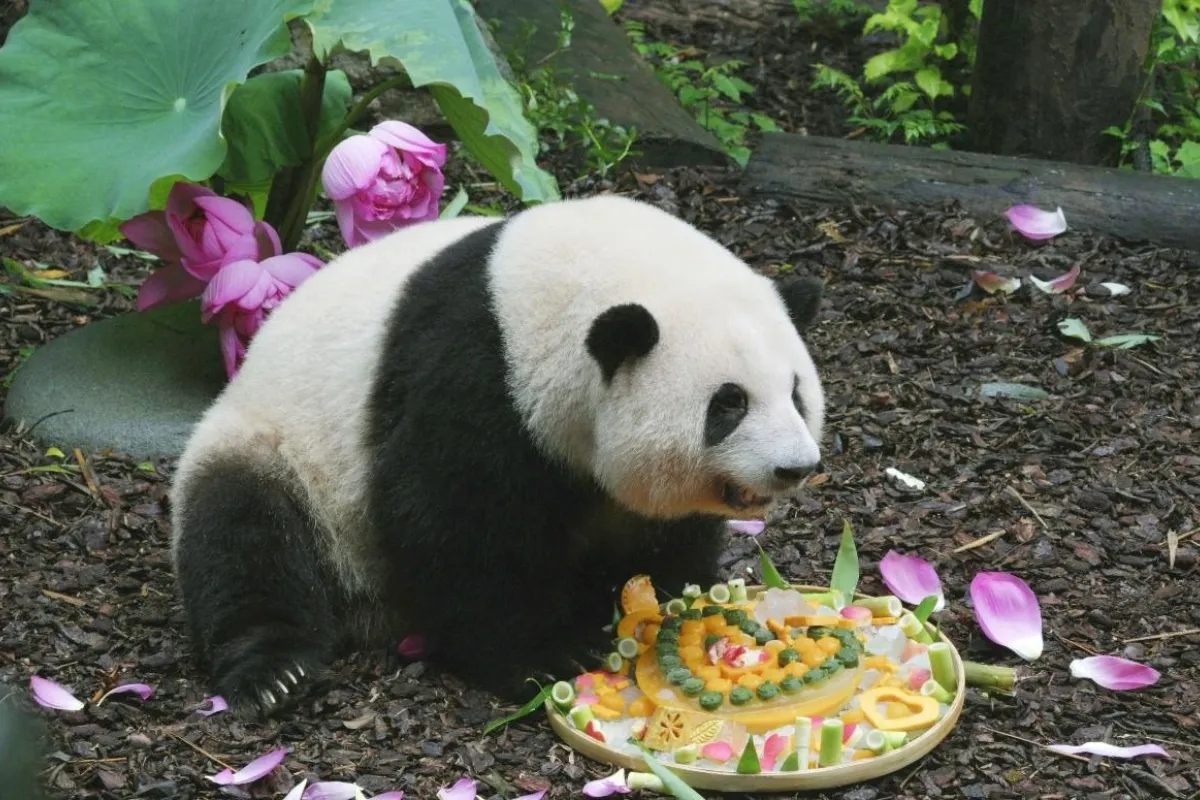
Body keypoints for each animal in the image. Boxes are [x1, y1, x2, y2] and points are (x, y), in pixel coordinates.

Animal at [170, 194, 826, 719]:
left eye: (796, 392)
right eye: (729, 404)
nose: (793, 467)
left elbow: (661, 536)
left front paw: (670, 602)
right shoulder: (478, 373)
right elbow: (453, 523)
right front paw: (545, 657)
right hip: (276, 449)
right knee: (243, 532)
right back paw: (272, 672)